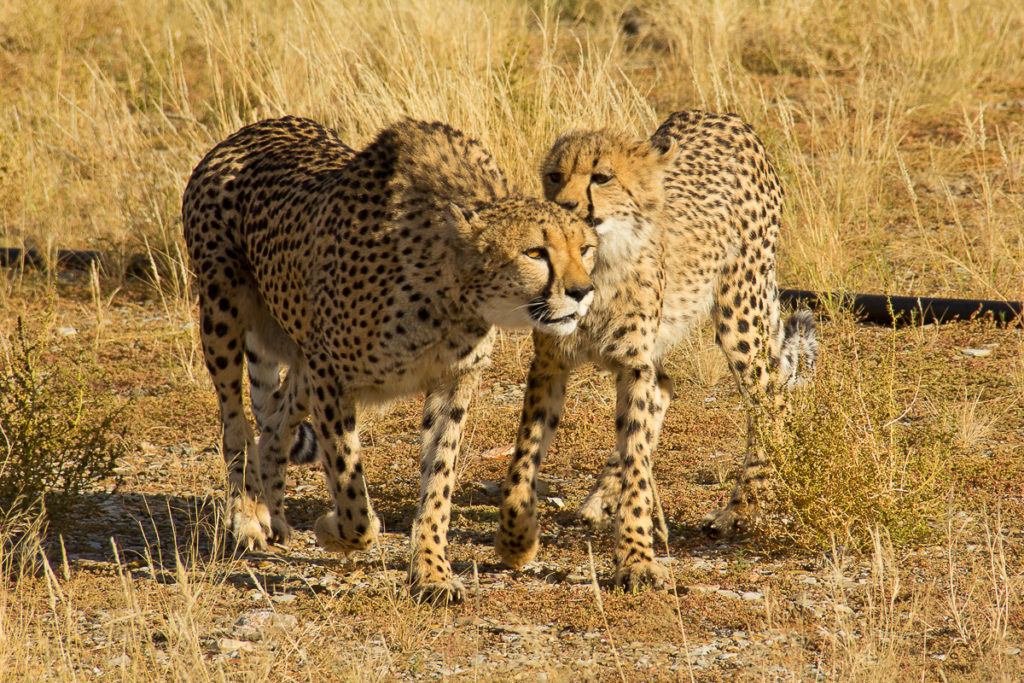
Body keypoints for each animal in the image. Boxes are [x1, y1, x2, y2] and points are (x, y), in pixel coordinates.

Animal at [183, 117, 598, 602]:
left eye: (585, 248)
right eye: (535, 252)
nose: (582, 291)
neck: (450, 291)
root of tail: (253, 128)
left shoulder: (452, 380)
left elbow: (439, 480)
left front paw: (432, 572)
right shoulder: (331, 376)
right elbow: (349, 486)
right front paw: (335, 530)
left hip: (300, 357)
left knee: (277, 419)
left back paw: (275, 513)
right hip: (222, 315)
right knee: (237, 426)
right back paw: (249, 518)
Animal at [491, 111, 819, 589]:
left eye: (602, 177)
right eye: (554, 176)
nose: (566, 207)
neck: (597, 264)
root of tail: (722, 115)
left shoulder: (633, 366)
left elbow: (637, 462)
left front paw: (635, 559)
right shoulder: (550, 364)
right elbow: (525, 454)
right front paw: (516, 538)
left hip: (741, 308)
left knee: (769, 399)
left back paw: (740, 509)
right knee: (664, 389)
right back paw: (601, 499)